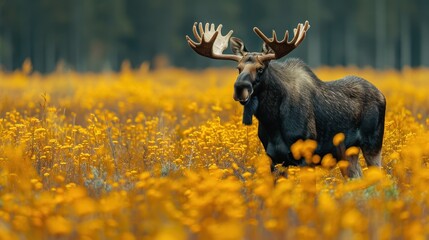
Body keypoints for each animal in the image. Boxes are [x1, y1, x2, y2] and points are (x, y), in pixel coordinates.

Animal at [184, 21, 384, 178]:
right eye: (238, 68)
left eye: (260, 69)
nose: (240, 88)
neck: (272, 122)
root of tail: (381, 94)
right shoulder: (274, 158)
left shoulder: (306, 156)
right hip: (348, 153)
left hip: (373, 144)